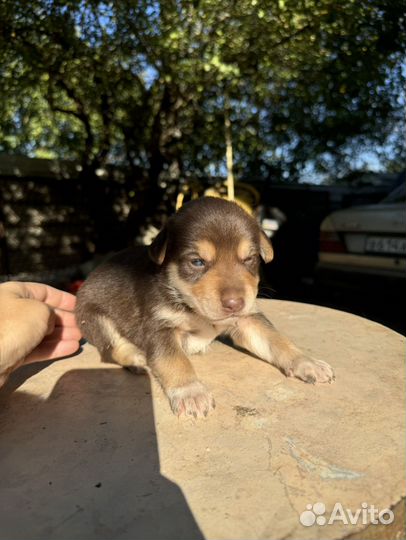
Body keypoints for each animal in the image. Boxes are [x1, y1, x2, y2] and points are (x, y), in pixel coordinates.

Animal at [75, 197, 334, 418]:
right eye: (197, 262)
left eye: (249, 259)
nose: (235, 304)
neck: (193, 308)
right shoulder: (159, 329)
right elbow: (175, 360)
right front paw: (191, 392)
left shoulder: (248, 319)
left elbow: (276, 340)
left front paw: (307, 362)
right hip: (94, 317)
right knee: (112, 348)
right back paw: (137, 359)